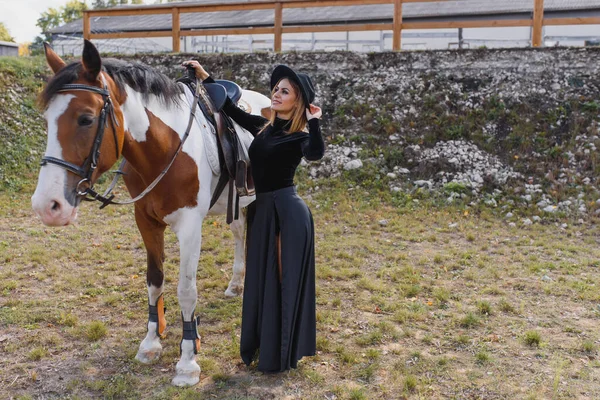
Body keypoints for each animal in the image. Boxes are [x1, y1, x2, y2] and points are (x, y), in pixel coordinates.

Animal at [29, 41, 270, 388]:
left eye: (85, 119)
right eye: (47, 120)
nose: (47, 205)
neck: (166, 147)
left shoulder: (189, 227)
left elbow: (186, 291)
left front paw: (187, 361)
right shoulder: (145, 221)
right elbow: (154, 281)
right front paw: (151, 343)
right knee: (239, 234)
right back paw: (235, 285)